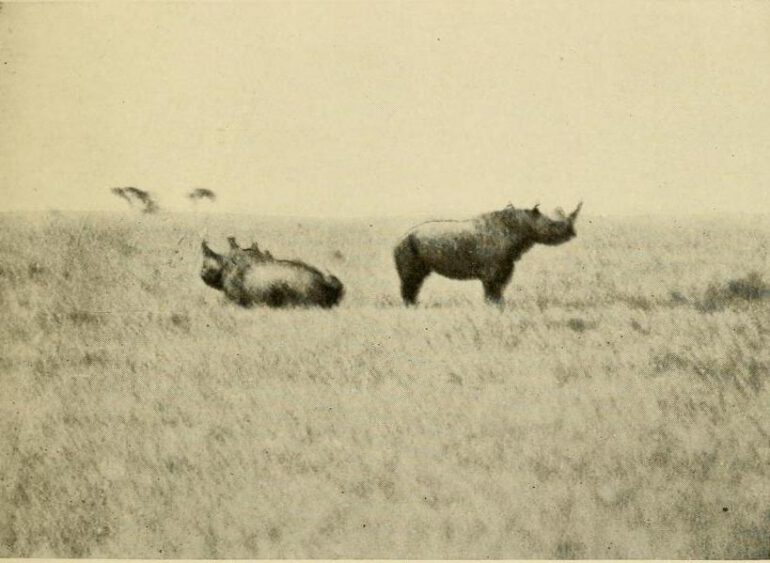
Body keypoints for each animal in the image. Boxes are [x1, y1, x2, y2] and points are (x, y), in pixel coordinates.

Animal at [200, 237, 344, 308]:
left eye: (207, 267)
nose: (201, 273)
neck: (225, 264)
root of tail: (325, 282)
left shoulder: (233, 297)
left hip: (304, 287)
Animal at [393, 202, 582, 305]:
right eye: (553, 225)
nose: (572, 234)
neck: (522, 224)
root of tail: (399, 238)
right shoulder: (492, 270)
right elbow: (493, 291)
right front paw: (494, 309)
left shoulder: (505, 266)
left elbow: (498, 291)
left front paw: (500, 308)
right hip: (407, 246)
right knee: (411, 279)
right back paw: (411, 307)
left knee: (418, 279)